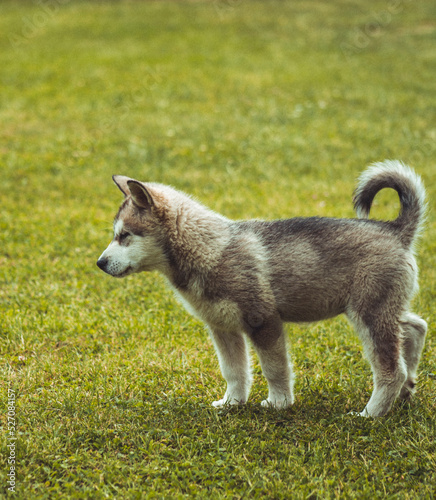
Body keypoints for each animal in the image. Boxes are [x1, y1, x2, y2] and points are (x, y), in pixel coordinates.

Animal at [96, 159, 426, 414]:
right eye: (116, 235)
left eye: (125, 235)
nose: (99, 263)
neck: (209, 249)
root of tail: (396, 230)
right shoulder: (221, 327)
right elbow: (234, 371)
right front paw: (232, 403)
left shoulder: (263, 320)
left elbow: (274, 368)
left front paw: (279, 403)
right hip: (382, 307)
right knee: (416, 326)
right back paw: (407, 387)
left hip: (369, 314)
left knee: (390, 369)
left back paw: (371, 413)